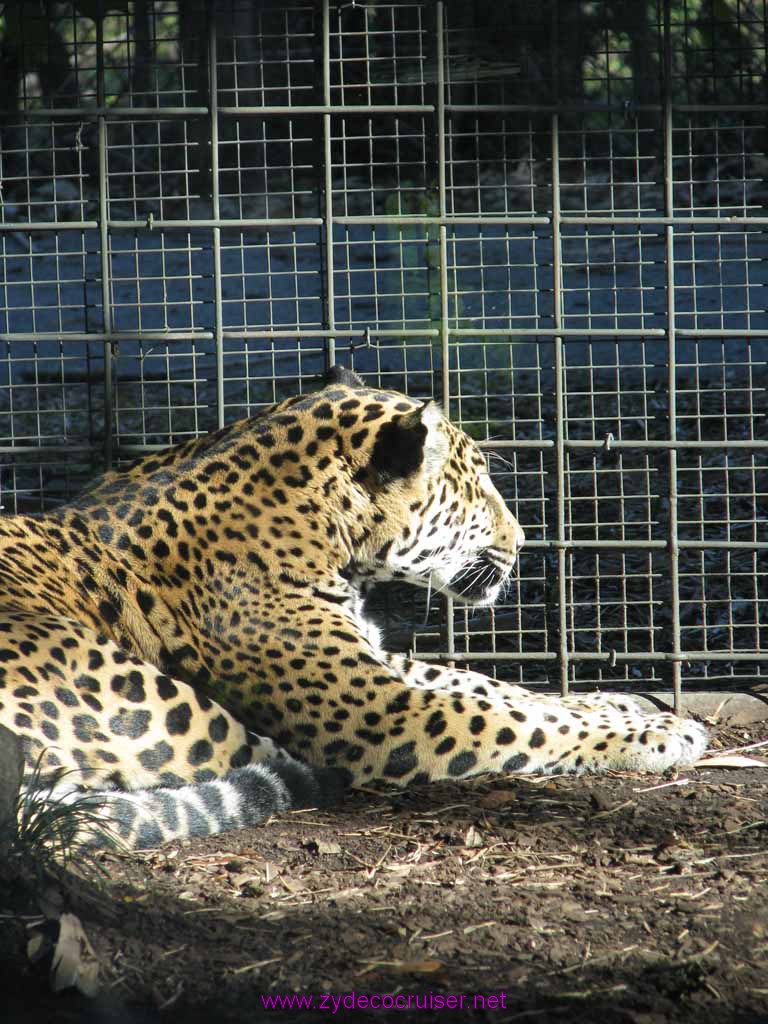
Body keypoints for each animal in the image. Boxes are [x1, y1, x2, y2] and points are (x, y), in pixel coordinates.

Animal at [0, 366, 708, 850]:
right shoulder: (377, 712)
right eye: (477, 482)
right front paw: (655, 735)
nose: (525, 539)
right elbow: (507, 720)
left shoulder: (374, 660)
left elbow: (495, 686)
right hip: (159, 702)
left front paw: (623, 703)